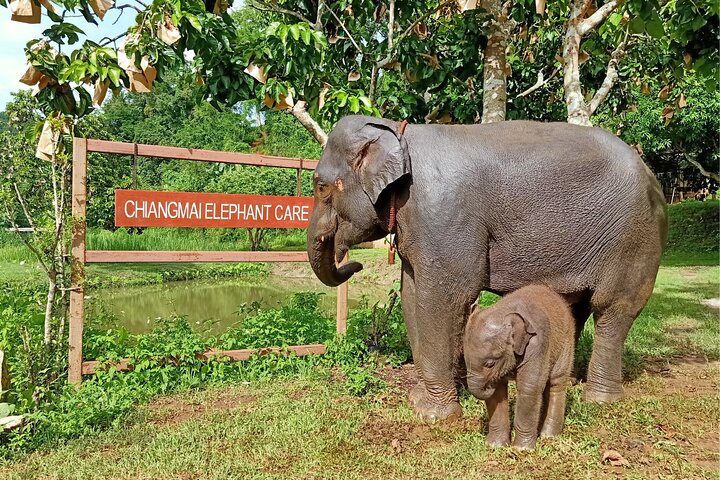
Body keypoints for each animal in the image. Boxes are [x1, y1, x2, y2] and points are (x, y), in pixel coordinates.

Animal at [306, 115, 667, 423]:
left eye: (321, 187)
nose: (355, 263)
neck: (399, 132)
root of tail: (653, 177)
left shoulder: (445, 215)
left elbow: (444, 299)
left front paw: (435, 415)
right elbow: (411, 295)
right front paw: (419, 400)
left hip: (634, 240)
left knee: (613, 310)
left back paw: (600, 399)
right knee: (572, 309)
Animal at [464, 284, 575, 449]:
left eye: (490, 364)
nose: (486, 386)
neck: (504, 312)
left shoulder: (537, 345)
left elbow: (529, 388)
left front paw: (521, 449)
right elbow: (498, 393)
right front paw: (495, 446)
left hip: (566, 340)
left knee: (556, 382)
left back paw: (549, 436)